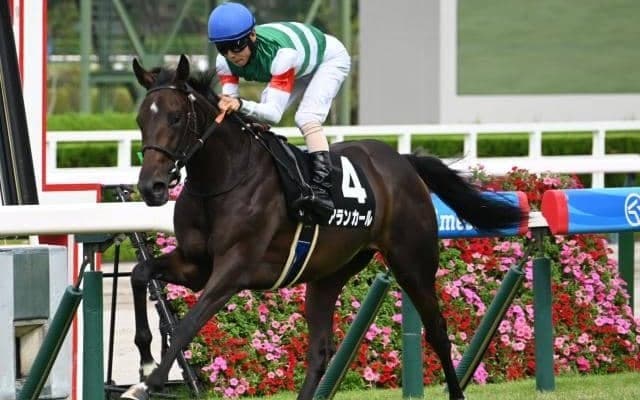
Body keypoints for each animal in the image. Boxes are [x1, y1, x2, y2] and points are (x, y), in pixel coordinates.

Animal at [122, 54, 525, 400]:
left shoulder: (233, 270)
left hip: (412, 262)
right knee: (320, 349)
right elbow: (140, 274)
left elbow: (187, 324)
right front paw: (146, 361)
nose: (151, 187)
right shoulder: (195, 265)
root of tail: (403, 162)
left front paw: (147, 383)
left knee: (437, 330)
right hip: (329, 274)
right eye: (140, 119)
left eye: (176, 118)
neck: (223, 179)